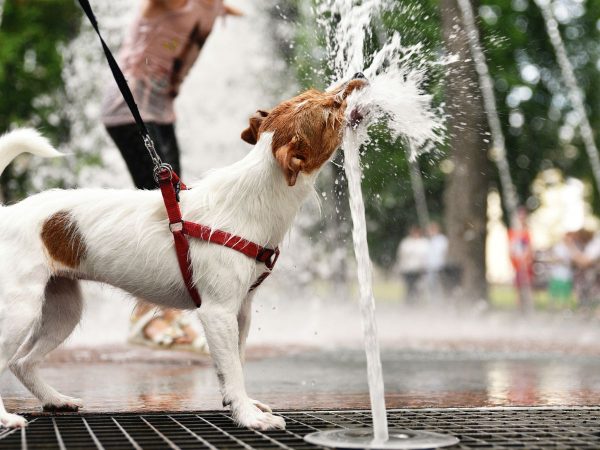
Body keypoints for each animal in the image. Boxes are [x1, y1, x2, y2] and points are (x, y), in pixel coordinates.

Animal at [0, 75, 366, 430]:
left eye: (317, 94)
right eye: (330, 110)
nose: (360, 76)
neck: (252, 197)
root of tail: (6, 212)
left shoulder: (241, 311)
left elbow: (236, 363)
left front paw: (241, 404)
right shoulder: (217, 312)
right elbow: (232, 368)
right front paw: (248, 417)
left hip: (63, 310)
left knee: (21, 363)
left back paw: (55, 399)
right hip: (20, 311)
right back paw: (7, 418)